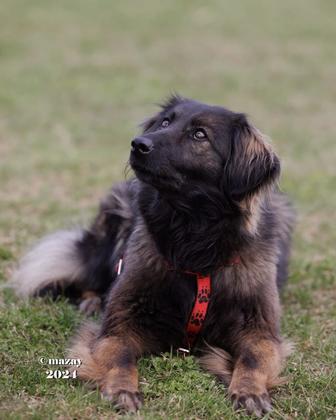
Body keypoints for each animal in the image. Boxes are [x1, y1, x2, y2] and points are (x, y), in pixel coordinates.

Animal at [11, 96, 294, 416]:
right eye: (165, 122)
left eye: (199, 134)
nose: (138, 144)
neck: (193, 240)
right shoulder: (120, 323)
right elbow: (120, 355)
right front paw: (122, 388)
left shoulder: (260, 330)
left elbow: (253, 359)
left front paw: (249, 391)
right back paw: (92, 300)